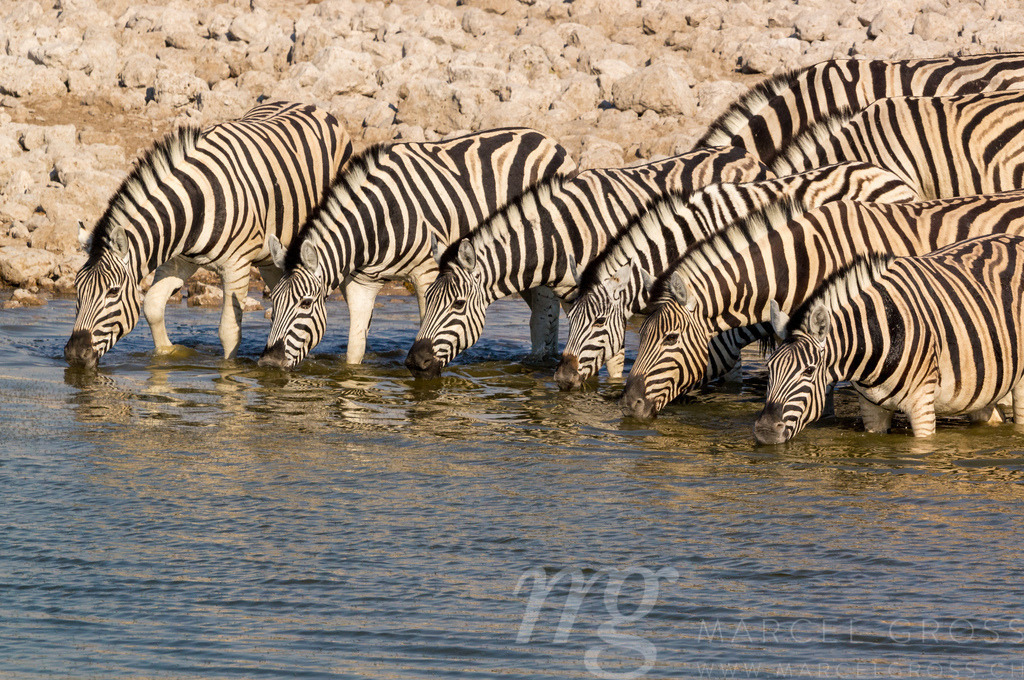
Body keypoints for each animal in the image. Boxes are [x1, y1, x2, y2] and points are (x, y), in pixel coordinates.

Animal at [64, 101, 352, 369]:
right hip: (272, 256)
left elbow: (229, 332)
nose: (75, 354)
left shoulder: (236, 268)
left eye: (112, 292)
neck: (195, 206)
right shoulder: (178, 259)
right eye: (77, 287)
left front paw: (228, 373)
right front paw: (166, 356)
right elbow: (153, 307)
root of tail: (311, 106)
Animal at [257, 128, 576, 369]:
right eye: (274, 303)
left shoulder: (427, 274)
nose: (270, 363)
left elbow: (429, 323)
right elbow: (354, 349)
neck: (379, 220)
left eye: (305, 304)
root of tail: (549, 140)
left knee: (545, 315)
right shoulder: (360, 284)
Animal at [403, 146, 771, 379]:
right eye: (428, 299)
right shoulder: (578, 302)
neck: (562, 236)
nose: (414, 362)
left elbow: (614, 359)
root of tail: (747, 155)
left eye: (458, 304)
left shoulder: (613, 298)